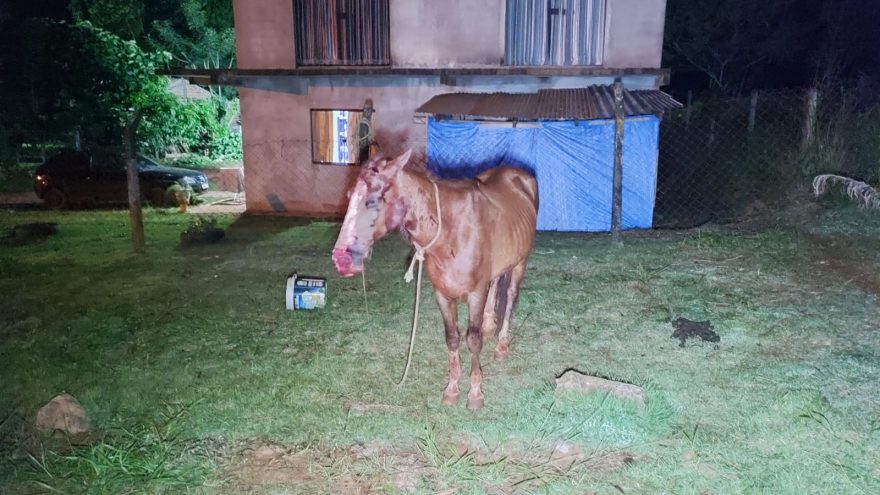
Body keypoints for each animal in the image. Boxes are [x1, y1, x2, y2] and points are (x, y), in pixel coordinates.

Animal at [332, 149, 538, 410]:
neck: (451, 233)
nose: (341, 260)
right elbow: (452, 339)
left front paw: (475, 393)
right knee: (495, 283)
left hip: (521, 262)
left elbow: (473, 340)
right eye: (349, 196)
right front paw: (452, 389)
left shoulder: (475, 294)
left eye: (371, 200)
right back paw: (490, 325)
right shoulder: (442, 294)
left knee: (510, 296)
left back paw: (502, 345)